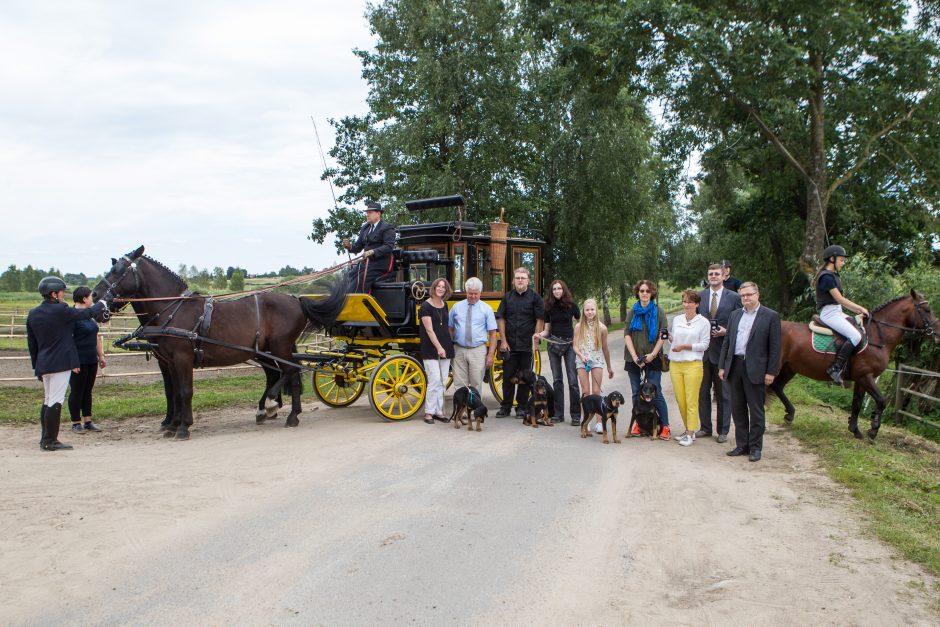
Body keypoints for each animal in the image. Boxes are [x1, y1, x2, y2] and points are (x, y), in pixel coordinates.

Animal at [92, 247, 346, 442]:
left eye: (117, 271)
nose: (94, 296)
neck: (174, 309)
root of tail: (297, 300)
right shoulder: (169, 361)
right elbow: (173, 392)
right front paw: (171, 424)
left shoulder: (182, 358)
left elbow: (184, 391)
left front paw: (183, 427)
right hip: (268, 350)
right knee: (282, 374)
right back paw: (274, 409)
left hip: (280, 347)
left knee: (290, 372)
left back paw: (285, 410)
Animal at [772, 290, 940, 442]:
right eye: (927, 309)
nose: (938, 333)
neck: (877, 336)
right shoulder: (866, 376)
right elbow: (881, 401)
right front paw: (873, 430)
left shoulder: (860, 379)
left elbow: (857, 404)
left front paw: (855, 430)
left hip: (789, 368)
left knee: (777, 387)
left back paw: (790, 414)